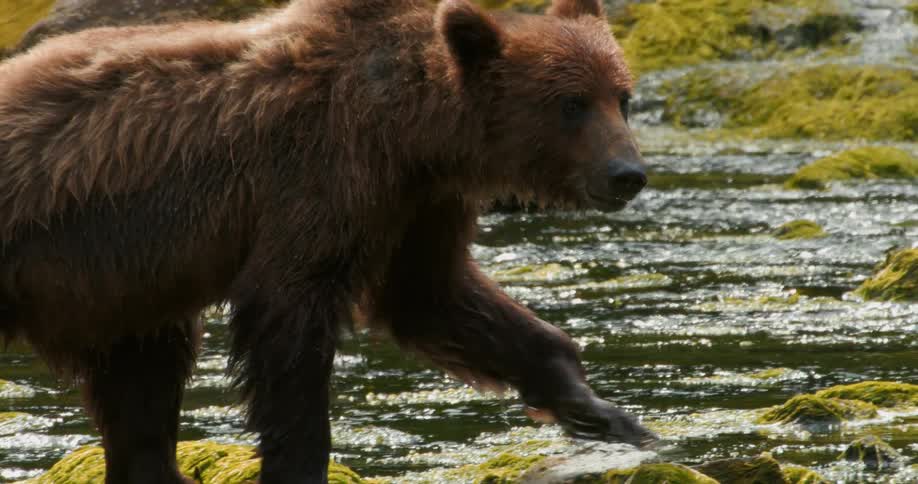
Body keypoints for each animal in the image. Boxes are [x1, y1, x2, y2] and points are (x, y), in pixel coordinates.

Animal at [0, 0, 652, 482]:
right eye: (570, 104)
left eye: (621, 96)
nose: (627, 173)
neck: (410, 130)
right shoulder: (318, 176)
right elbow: (289, 318)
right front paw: (299, 460)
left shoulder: (418, 203)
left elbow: (433, 296)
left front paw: (599, 410)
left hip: (119, 290)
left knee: (141, 385)